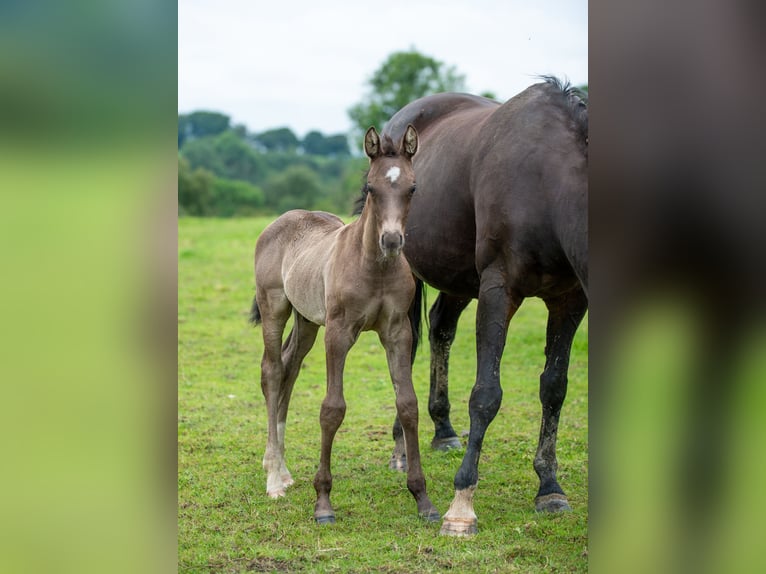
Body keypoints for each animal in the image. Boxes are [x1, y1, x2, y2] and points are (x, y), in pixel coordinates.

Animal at [252, 126, 438, 528]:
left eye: (413, 187)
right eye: (370, 188)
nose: (391, 240)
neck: (375, 267)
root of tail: (283, 220)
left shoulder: (398, 332)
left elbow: (408, 405)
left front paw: (423, 499)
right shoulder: (338, 333)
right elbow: (332, 409)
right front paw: (323, 502)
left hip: (306, 319)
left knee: (289, 368)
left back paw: (284, 470)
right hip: (274, 307)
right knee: (271, 371)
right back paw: (273, 476)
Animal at [388, 79, 592, 536]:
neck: (547, 182)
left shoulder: (570, 300)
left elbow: (554, 388)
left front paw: (549, 487)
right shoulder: (499, 289)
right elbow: (486, 394)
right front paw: (461, 505)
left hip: (459, 278)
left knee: (441, 329)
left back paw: (443, 429)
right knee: (405, 349)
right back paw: (402, 448)